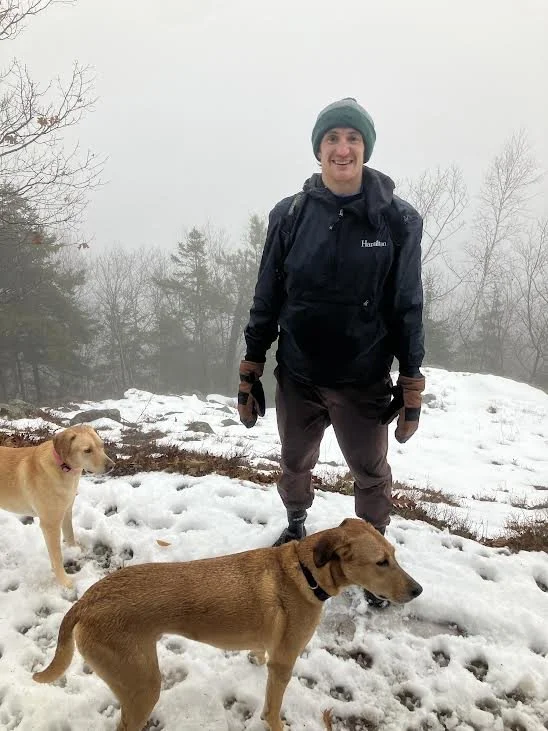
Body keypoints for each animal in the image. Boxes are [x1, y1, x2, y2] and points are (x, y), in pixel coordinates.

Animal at [0, 424, 114, 587]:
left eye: (102, 445)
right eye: (87, 450)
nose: (112, 466)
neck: (63, 468)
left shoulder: (66, 510)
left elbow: (70, 534)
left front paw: (74, 551)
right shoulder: (50, 524)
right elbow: (57, 556)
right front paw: (65, 582)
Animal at [33, 518, 422, 730]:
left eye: (394, 556)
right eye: (381, 562)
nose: (418, 590)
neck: (304, 572)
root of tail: (86, 601)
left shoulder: (269, 650)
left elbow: (258, 655)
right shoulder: (284, 664)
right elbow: (272, 710)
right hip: (144, 686)